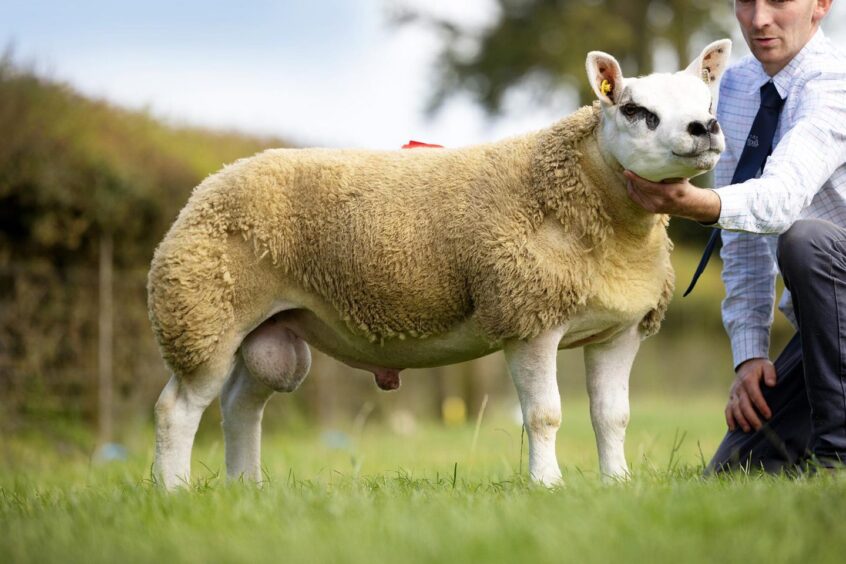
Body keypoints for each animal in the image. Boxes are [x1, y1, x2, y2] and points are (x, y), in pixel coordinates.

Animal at [149, 39, 732, 490]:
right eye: (635, 110)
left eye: (708, 99)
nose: (704, 127)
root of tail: (210, 184)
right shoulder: (528, 316)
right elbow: (544, 415)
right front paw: (547, 485)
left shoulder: (620, 329)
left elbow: (613, 417)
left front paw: (617, 483)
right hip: (204, 313)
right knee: (177, 408)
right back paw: (175, 491)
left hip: (267, 331)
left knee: (240, 405)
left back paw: (246, 487)